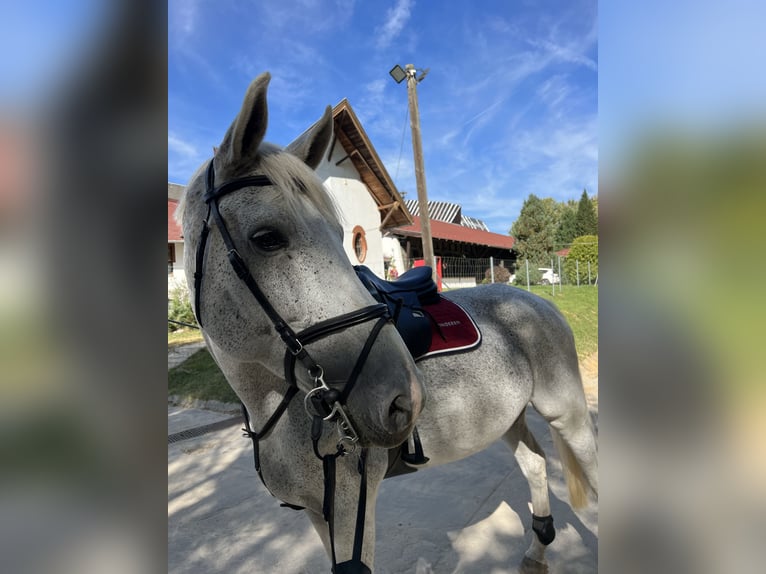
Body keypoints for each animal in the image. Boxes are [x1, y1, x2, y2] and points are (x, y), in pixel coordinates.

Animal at [180, 73, 600, 574]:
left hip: (569, 417)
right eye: (266, 238)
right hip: (509, 418)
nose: (406, 399)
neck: (274, 406)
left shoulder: (349, 509)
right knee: (535, 464)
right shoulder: (321, 515)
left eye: (341, 235)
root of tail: (537, 302)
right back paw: (537, 550)